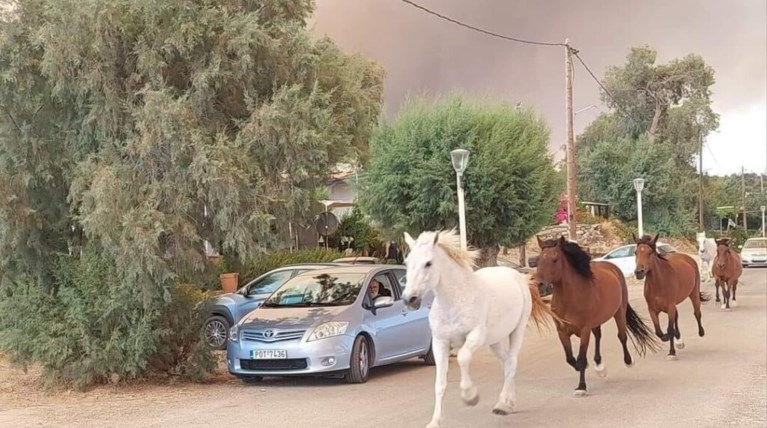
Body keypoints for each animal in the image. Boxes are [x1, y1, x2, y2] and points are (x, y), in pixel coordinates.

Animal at [400, 231, 556, 428]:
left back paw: (503, 405)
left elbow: (462, 357)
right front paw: (435, 421)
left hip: (517, 332)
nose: (409, 299)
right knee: (506, 364)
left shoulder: (475, 336)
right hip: (495, 341)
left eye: (428, 263)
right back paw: (509, 402)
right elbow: (440, 383)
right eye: (407, 262)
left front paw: (470, 396)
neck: (455, 300)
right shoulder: (439, 343)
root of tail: (518, 276)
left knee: (512, 363)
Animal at [536, 236, 660, 396]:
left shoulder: (584, 331)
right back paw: (600, 366)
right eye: (538, 259)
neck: (570, 299)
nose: (539, 283)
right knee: (598, 336)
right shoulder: (562, 331)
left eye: (555, 259)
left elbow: (581, 358)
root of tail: (611, 267)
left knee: (622, 336)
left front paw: (581, 387)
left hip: (619, 312)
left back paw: (628, 361)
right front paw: (581, 368)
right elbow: (570, 358)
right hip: (596, 321)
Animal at [632, 232, 712, 360]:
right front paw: (667, 337)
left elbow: (669, 328)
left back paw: (701, 332)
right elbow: (658, 331)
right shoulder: (652, 309)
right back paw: (678, 339)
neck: (659, 283)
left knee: (697, 313)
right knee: (677, 316)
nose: (639, 272)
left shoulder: (670, 306)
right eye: (636, 252)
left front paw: (671, 352)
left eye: (649, 253)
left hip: (693, 294)